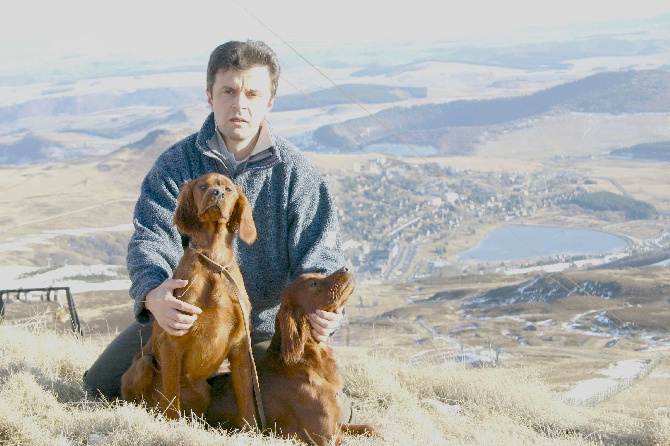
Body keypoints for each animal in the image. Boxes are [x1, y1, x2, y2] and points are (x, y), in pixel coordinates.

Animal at [121, 171, 258, 426]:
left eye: (229, 189)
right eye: (203, 186)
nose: (217, 194)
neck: (213, 262)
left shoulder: (240, 346)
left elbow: (247, 398)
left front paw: (251, 430)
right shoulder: (171, 341)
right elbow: (171, 395)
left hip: (202, 391)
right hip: (144, 364)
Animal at [207, 266, 380, 444]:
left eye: (320, 275)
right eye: (313, 283)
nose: (346, 268)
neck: (306, 361)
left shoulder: (335, 426)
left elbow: (369, 427)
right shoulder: (325, 436)